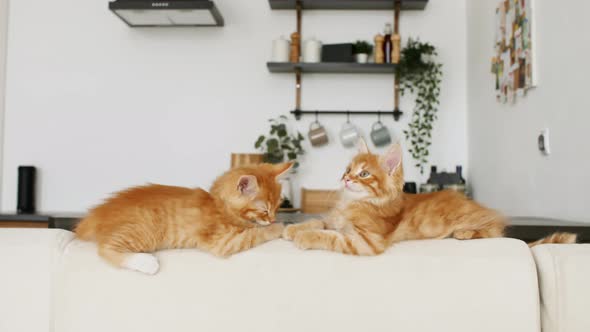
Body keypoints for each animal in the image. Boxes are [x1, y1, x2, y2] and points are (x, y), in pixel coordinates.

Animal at [76, 163, 294, 274]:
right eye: (264, 210)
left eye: (278, 206)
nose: (273, 219)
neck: (219, 205)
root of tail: (95, 215)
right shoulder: (221, 240)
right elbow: (255, 233)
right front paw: (280, 227)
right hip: (143, 230)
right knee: (105, 248)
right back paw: (146, 263)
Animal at [284, 139, 576, 254]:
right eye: (348, 170)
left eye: (364, 174)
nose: (345, 178)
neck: (354, 202)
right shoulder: (333, 220)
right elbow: (318, 222)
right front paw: (294, 229)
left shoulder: (367, 241)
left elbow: (329, 236)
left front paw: (304, 237)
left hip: (478, 223)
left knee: (494, 231)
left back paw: (465, 233)